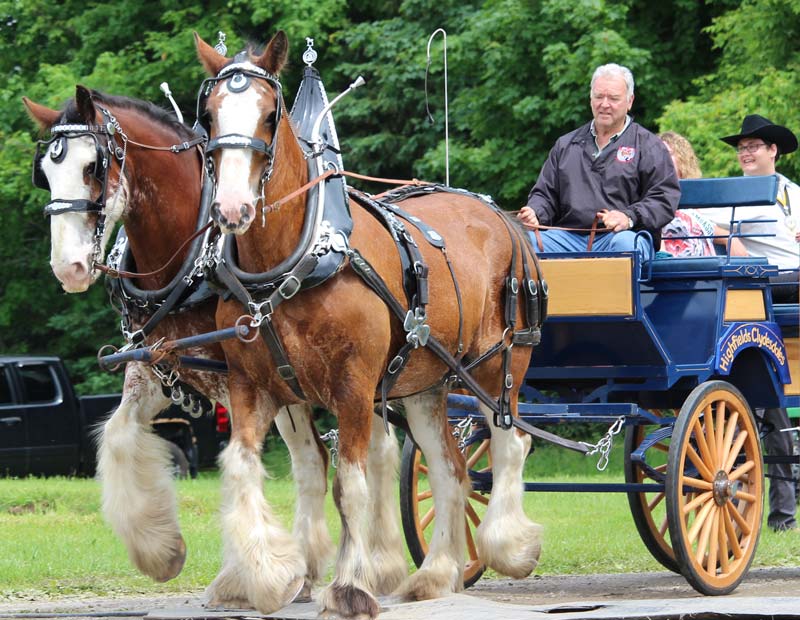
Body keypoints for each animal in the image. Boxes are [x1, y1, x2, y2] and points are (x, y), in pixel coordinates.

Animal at [21, 87, 394, 604]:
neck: (187, 257)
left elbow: (237, 465)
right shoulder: (158, 368)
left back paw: (373, 565)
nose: (68, 267)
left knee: (362, 455)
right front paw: (160, 551)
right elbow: (117, 436)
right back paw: (315, 567)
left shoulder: (235, 378)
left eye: (93, 166)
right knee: (320, 461)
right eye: (45, 174)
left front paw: (242, 575)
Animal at [195, 30, 544, 620]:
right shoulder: (252, 385)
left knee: (508, 443)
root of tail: (503, 217)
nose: (233, 208)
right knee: (451, 470)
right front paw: (267, 574)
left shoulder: (354, 389)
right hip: (425, 383)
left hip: (499, 364)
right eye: (209, 113)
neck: (295, 260)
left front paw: (351, 586)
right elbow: (242, 468)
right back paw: (436, 574)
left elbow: (351, 487)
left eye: (269, 115)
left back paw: (507, 545)